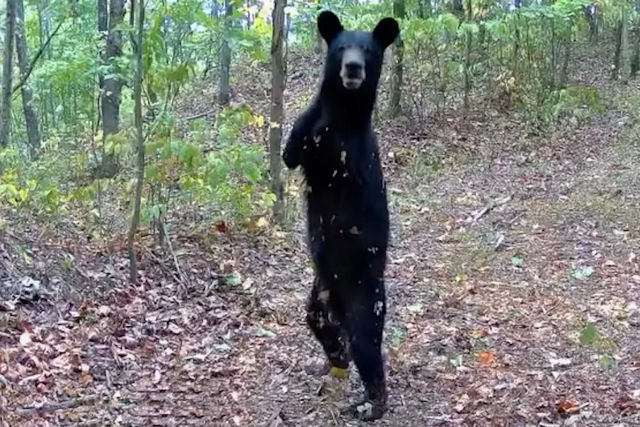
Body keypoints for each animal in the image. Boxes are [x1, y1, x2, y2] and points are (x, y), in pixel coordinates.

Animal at [282, 10, 398, 424]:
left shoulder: (350, 151)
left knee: (366, 344)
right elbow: (293, 147)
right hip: (320, 292)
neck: (345, 110)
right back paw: (335, 363)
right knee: (322, 325)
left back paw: (371, 403)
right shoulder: (307, 135)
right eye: (341, 47)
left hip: (363, 292)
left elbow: (337, 160)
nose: (352, 68)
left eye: (369, 50)